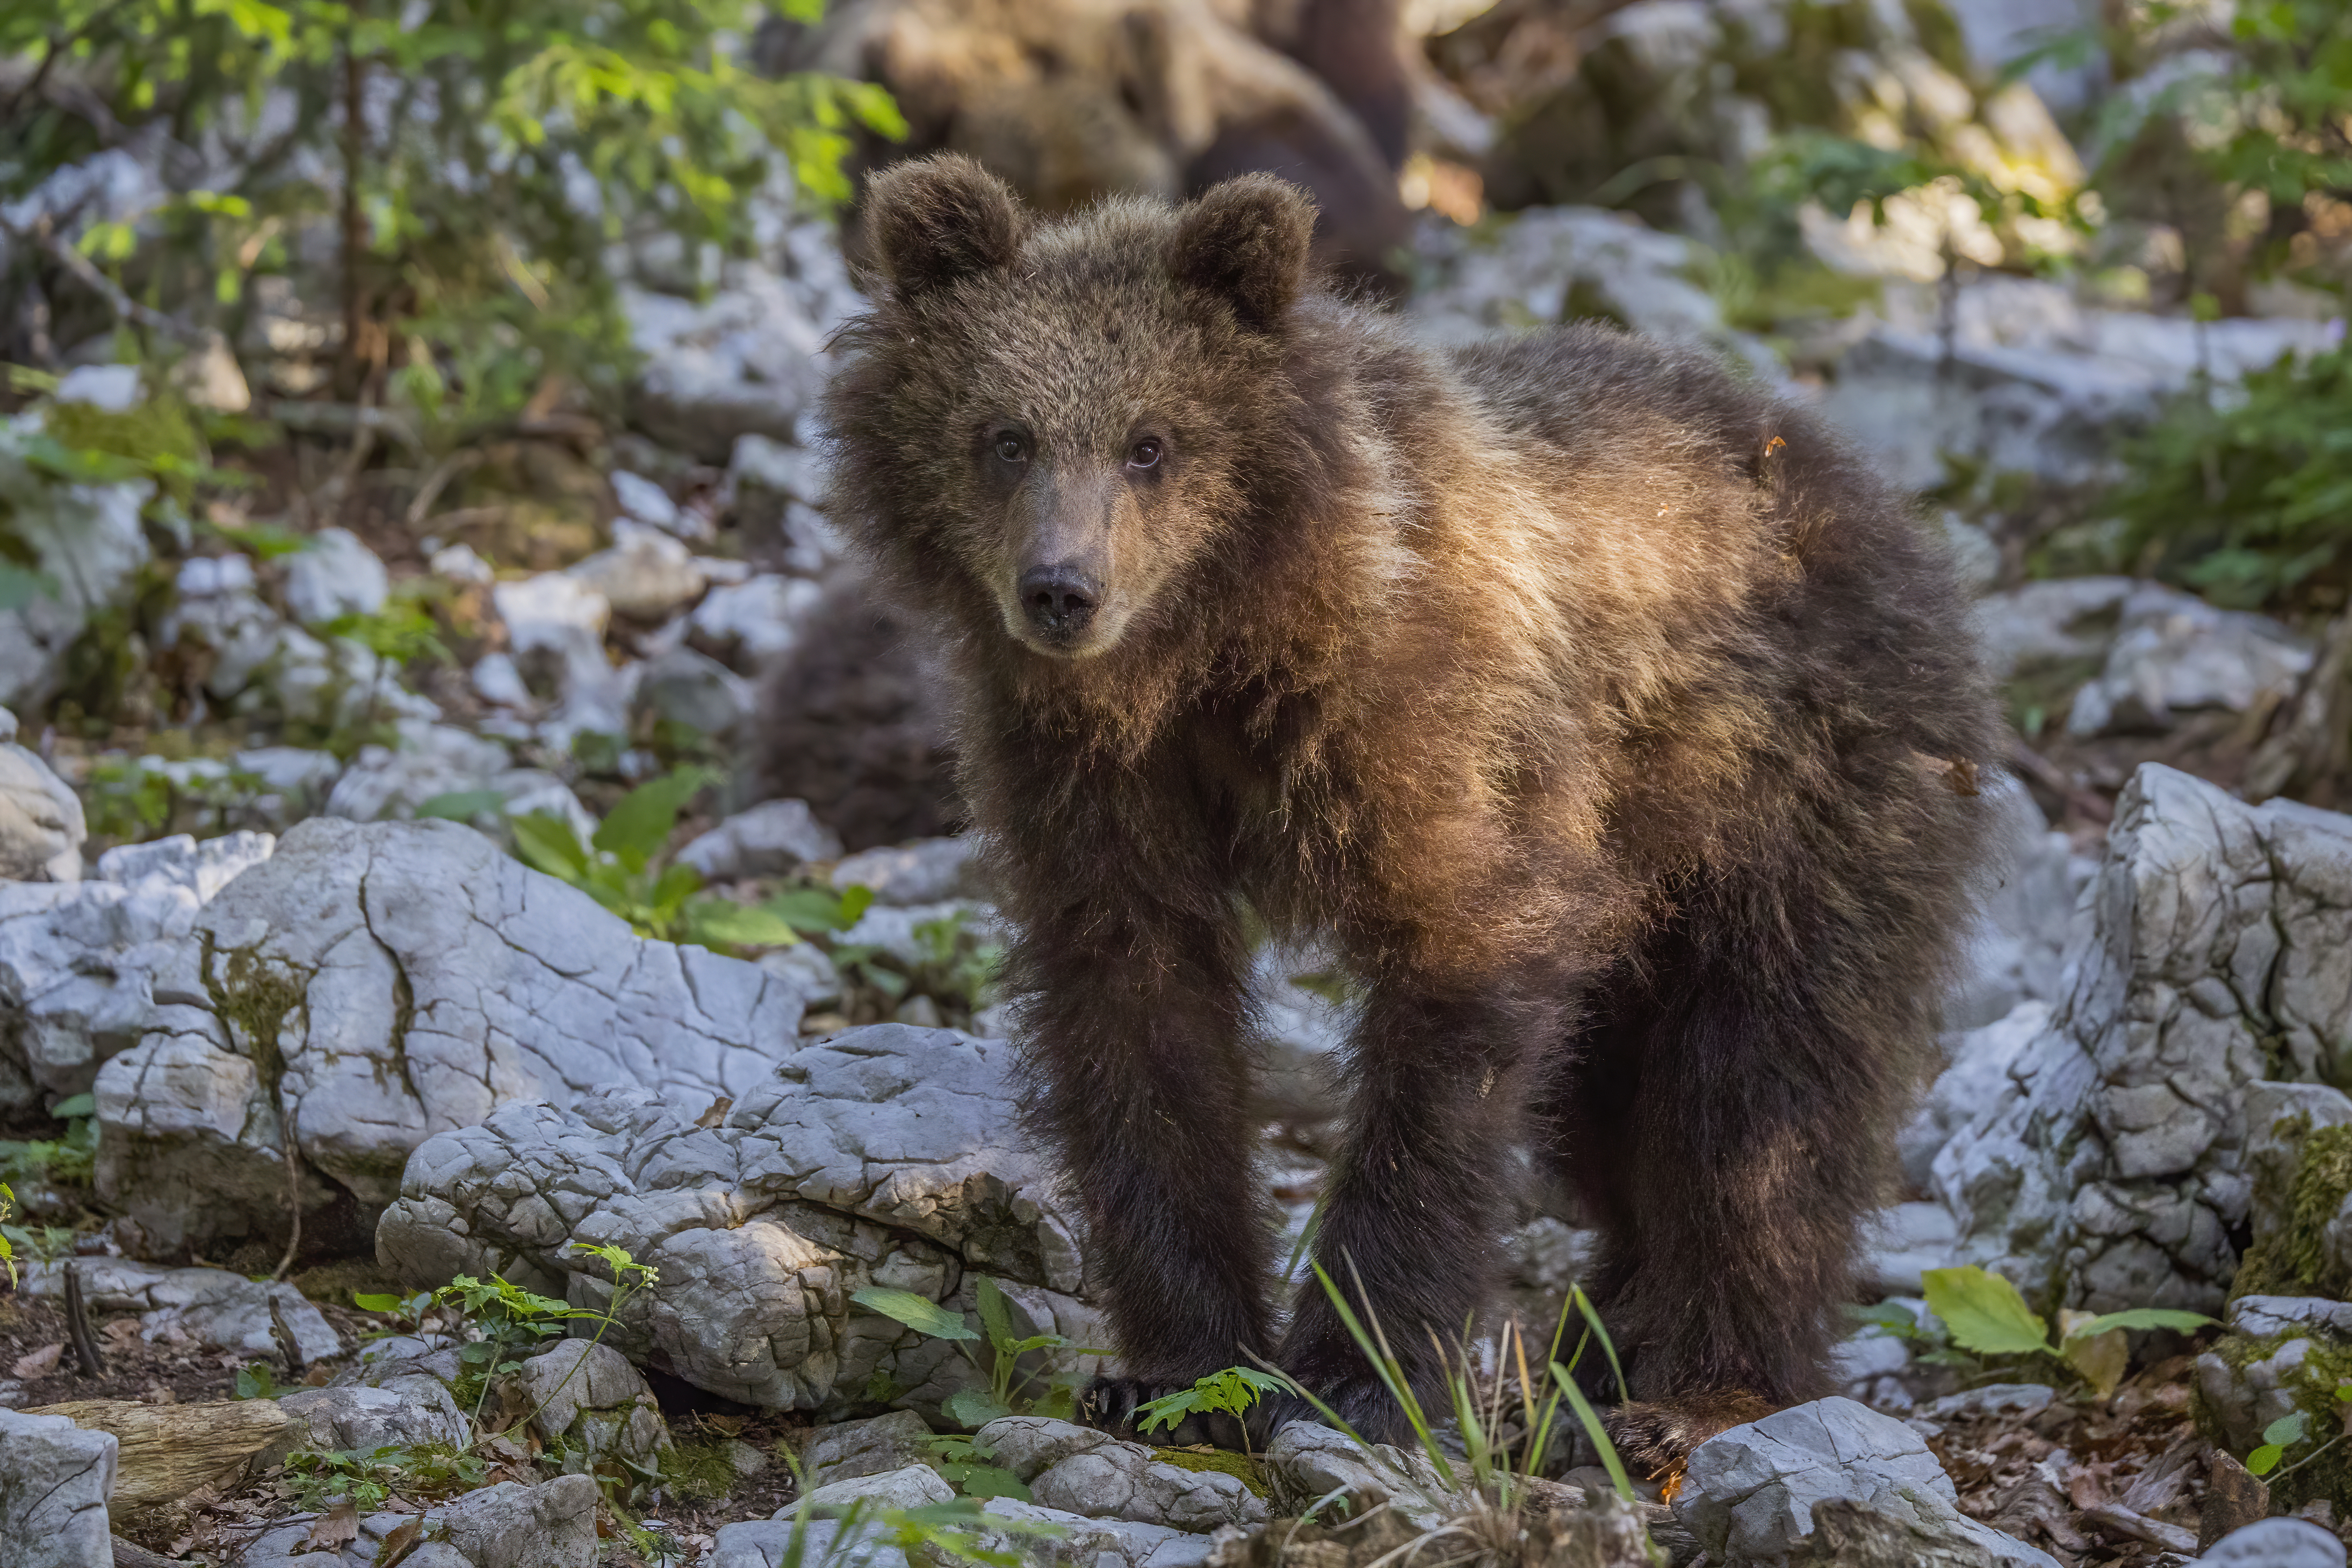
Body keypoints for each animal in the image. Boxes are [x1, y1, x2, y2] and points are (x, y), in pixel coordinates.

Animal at [818, 153, 2001, 1476]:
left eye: (1150, 443)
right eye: (1004, 436)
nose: (1062, 590)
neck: (1217, 648)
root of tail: (1872, 496)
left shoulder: (1432, 723)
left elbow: (1452, 1001)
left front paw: (1352, 1375)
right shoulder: (1084, 773)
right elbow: (1138, 1012)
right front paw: (1176, 1367)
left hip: (1799, 794)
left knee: (1762, 1093)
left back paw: (1694, 1390)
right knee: (1610, 1114)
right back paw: (1598, 1351)